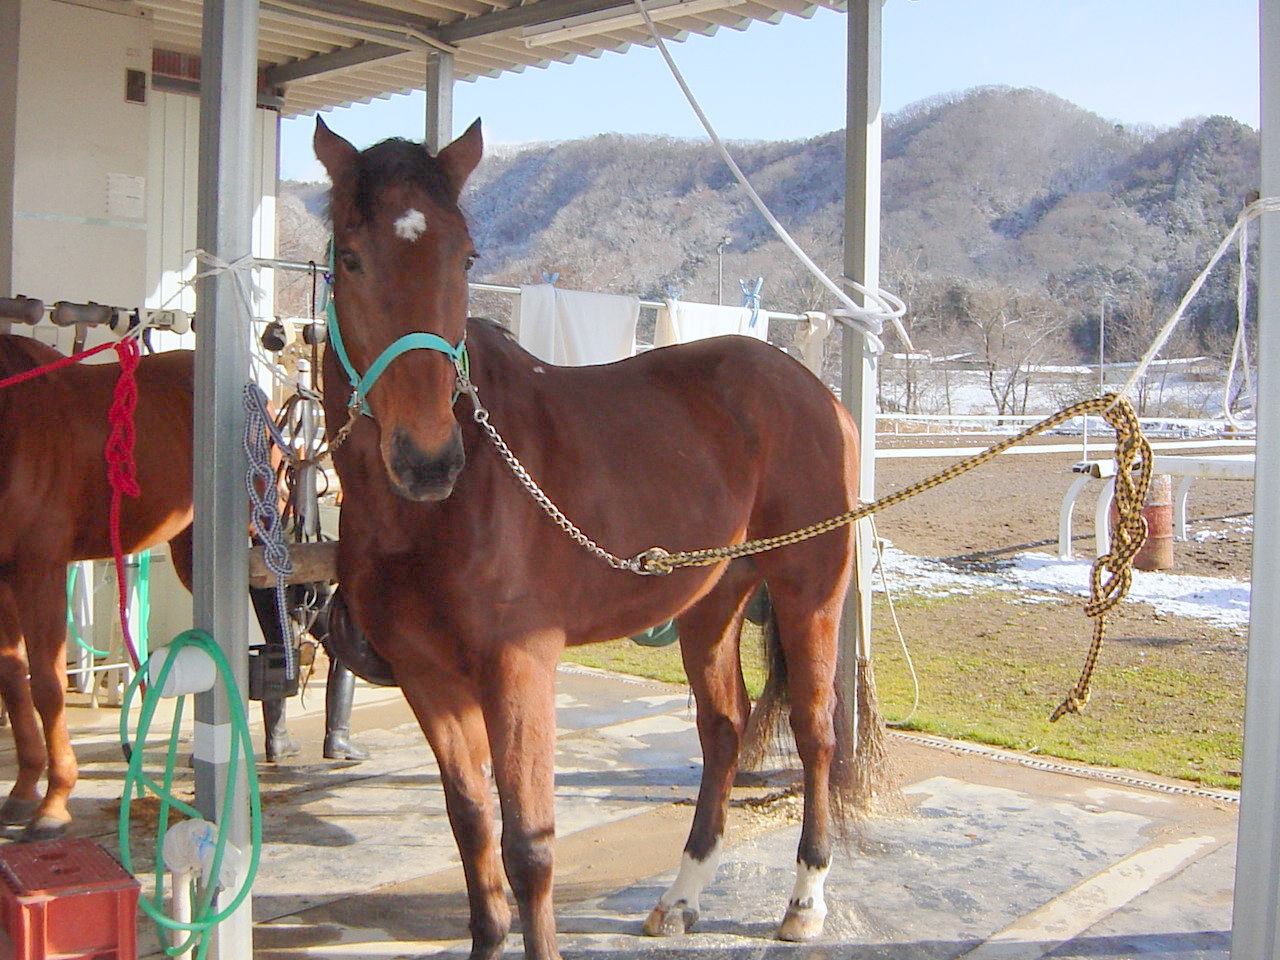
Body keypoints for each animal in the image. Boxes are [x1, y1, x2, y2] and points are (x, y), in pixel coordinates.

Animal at [0, 334, 196, 840]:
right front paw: (24, 789)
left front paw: (54, 803)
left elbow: (47, 685)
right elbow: (14, 681)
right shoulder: (1, 577)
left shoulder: (40, 570)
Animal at [315, 116, 862, 960]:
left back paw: (804, 902)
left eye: (464, 255)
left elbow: (528, 846)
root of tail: (813, 390)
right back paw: (682, 897)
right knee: (723, 731)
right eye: (350, 256)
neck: (437, 512)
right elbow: (472, 828)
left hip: (810, 594)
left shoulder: (521, 666)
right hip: (712, 604)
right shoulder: (427, 678)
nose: (427, 457)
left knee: (815, 735)